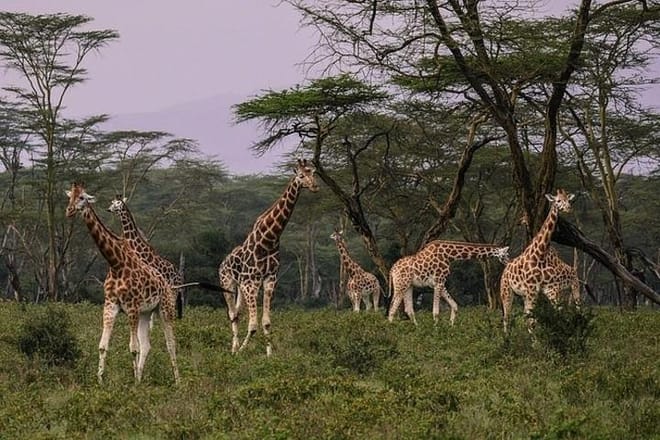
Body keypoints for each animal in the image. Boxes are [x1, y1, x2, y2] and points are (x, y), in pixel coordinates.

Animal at [65, 182, 179, 384]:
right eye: (70, 196)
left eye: (82, 197)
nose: (69, 211)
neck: (115, 263)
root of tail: (166, 282)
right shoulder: (111, 305)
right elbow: (103, 345)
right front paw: (101, 381)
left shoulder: (131, 307)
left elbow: (133, 347)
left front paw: (133, 384)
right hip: (146, 312)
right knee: (147, 345)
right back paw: (141, 377)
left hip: (165, 308)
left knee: (171, 343)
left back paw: (178, 382)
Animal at [218, 158, 319, 355]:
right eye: (301, 175)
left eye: (313, 171)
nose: (315, 186)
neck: (270, 239)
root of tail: (223, 262)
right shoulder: (251, 282)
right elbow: (253, 325)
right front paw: (241, 352)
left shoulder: (269, 279)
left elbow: (266, 322)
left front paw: (269, 355)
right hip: (228, 283)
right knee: (232, 314)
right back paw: (233, 349)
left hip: (240, 286)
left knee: (237, 312)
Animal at [499, 188, 576, 333]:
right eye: (558, 200)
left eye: (568, 200)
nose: (569, 208)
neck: (540, 255)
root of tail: (506, 267)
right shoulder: (531, 290)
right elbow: (532, 320)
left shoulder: (543, 290)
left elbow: (538, 318)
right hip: (506, 291)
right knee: (507, 317)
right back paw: (506, 337)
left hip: (523, 295)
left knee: (522, 316)